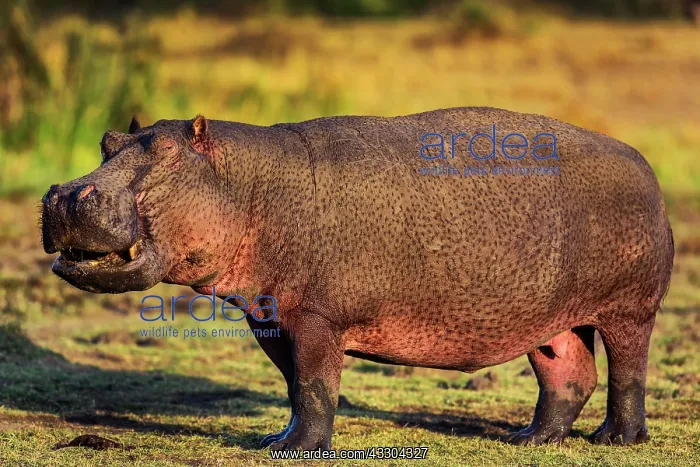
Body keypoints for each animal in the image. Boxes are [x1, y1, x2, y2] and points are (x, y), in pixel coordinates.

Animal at [41, 107, 674, 450]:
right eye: (107, 142)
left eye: (168, 154)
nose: (68, 193)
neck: (244, 183)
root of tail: (643, 163)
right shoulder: (271, 318)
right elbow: (296, 386)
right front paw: (275, 441)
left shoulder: (320, 317)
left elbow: (317, 386)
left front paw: (298, 450)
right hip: (549, 317)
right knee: (568, 373)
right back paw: (529, 439)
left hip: (630, 309)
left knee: (627, 373)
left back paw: (616, 439)